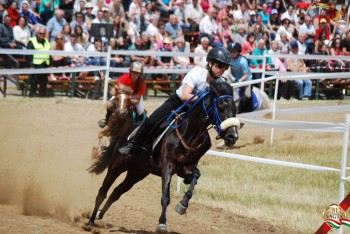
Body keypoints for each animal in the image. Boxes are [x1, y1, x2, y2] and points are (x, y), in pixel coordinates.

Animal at [87, 81, 241, 232]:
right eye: (221, 106)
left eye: (235, 109)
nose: (232, 136)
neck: (188, 134)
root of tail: (125, 133)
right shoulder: (167, 166)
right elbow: (166, 196)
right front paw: (162, 223)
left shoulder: (185, 168)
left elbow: (196, 176)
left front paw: (182, 205)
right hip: (117, 165)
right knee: (103, 191)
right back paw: (90, 221)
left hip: (137, 172)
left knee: (116, 192)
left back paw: (100, 214)